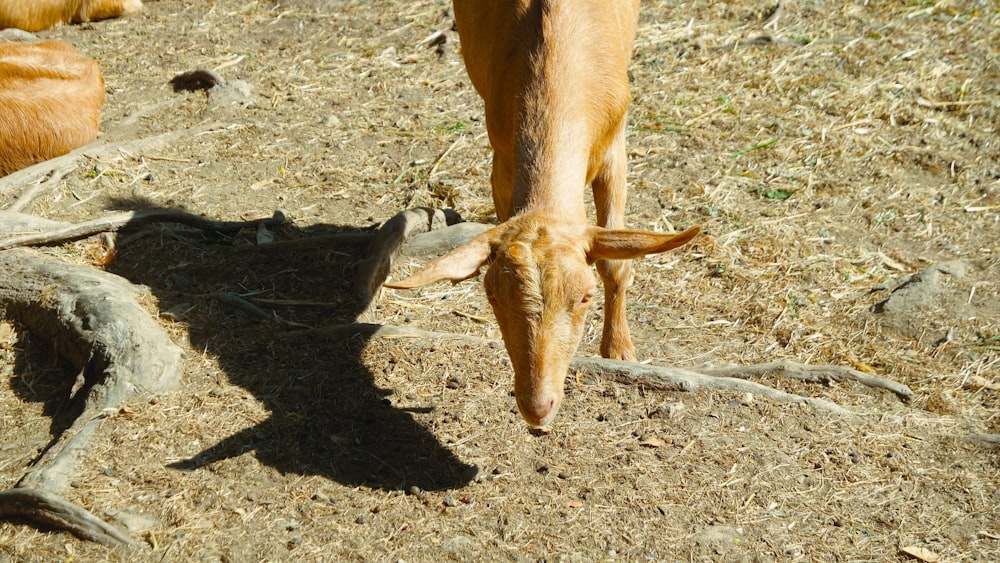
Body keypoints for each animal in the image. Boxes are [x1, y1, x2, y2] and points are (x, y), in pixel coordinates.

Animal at [386, 0, 700, 430]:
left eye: (585, 297)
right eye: (491, 294)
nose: (537, 408)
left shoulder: (615, 146)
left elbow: (616, 263)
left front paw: (619, 352)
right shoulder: (502, 161)